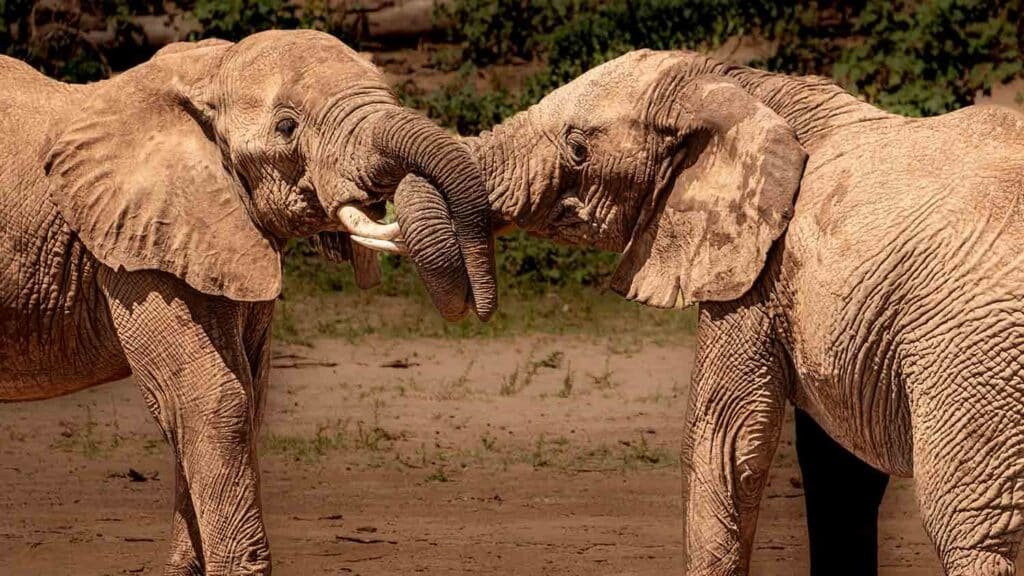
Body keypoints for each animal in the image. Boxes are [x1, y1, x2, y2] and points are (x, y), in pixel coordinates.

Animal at [0, 30, 496, 575]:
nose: (481, 308)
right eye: (287, 127)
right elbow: (211, 397)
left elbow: (245, 392)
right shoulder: (134, 245)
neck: (206, 70)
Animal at [396, 49, 1024, 574]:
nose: (478, 307)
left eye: (578, 148)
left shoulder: (758, 273)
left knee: (966, 530)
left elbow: (724, 441)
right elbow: (838, 470)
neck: (735, 84)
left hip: (978, 353)